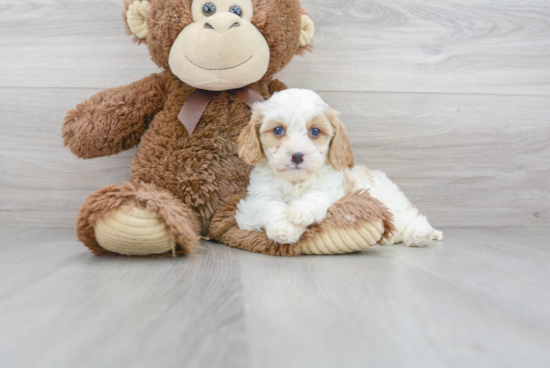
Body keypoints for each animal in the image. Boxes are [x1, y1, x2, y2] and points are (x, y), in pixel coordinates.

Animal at [235, 87, 442, 247]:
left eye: (315, 131)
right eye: (278, 130)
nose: (297, 155)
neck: (296, 181)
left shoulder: (333, 192)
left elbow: (316, 196)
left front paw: (299, 211)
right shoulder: (255, 202)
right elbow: (271, 205)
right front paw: (283, 228)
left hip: (387, 198)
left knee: (410, 216)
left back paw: (419, 234)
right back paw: (391, 237)